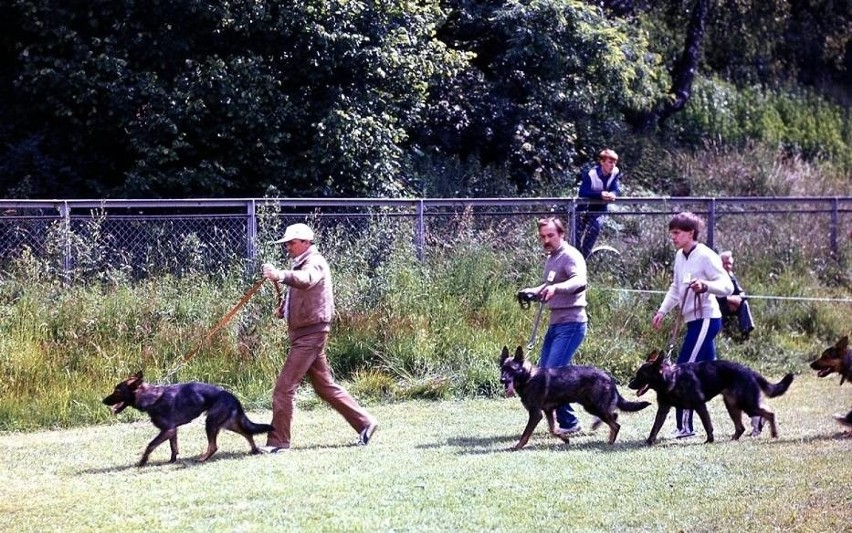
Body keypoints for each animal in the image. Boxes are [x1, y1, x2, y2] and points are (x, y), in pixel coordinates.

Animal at [103, 372, 274, 464]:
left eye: (117, 391)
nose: (103, 401)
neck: (152, 398)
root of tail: (233, 397)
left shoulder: (167, 430)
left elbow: (150, 445)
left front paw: (143, 462)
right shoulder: (172, 431)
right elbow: (173, 447)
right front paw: (172, 461)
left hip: (211, 422)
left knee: (214, 446)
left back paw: (202, 459)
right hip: (227, 423)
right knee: (248, 433)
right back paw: (254, 450)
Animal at [496, 344, 648, 448]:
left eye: (512, 370)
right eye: (503, 369)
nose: (502, 380)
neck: (528, 377)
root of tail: (609, 378)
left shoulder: (536, 414)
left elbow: (526, 434)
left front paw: (517, 446)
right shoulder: (548, 411)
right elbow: (553, 429)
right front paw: (565, 439)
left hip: (596, 407)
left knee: (616, 424)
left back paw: (610, 441)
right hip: (592, 407)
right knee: (614, 416)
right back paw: (599, 428)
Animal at [628, 350, 796, 444]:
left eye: (641, 375)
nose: (629, 385)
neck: (670, 378)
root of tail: (750, 370)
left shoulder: (699, 406)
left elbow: (707, 425)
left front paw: (710, 440)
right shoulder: (663, 410)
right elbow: (654, 428)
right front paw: (649, 442)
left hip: (747, 405)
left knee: (769, 413)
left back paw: (774, 433)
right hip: (733, 406)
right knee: (741, 427)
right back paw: (734, 439)